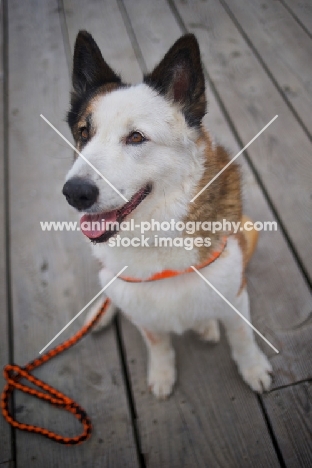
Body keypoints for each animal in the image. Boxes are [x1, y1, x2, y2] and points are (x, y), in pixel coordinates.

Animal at [63, 31, 272, 396]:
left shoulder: (235, 294)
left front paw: (253, 368)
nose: (75, 192)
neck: (156, 235)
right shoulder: (143, 313)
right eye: (83, 132)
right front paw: (162, 374)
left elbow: (242, 336)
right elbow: (157, 343)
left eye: (136, 137)